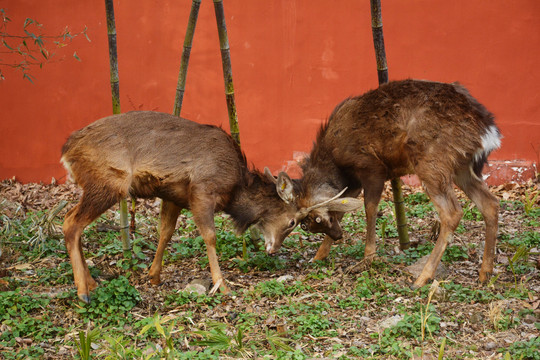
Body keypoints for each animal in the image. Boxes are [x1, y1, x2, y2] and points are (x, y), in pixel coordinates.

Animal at [62, 111, 300, 302]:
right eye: (293, 221)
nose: (274, 249)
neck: (234, 190)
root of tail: (66, 151)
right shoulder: (201, 190)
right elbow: (210, 236)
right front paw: (222, 285)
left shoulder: (174, 197)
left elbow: (166, 232)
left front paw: (154, 276)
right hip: (109, 182)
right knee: (71, 223)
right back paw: (83, 291)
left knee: (73, 221)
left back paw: (92, 282)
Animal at [274, 80, 502, 288]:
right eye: (307, 226)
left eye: (313, 220)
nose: (338, 236)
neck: (335, 162)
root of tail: (487, 131)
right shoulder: (354, 182)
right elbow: (342, 209)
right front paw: (319, 256)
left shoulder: (372, 167)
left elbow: (369, 209)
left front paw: (367, 259)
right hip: (462, 167)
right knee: (490, 202)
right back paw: (485, 273)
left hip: (433, 162)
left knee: (453, 212)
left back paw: (422, 278)